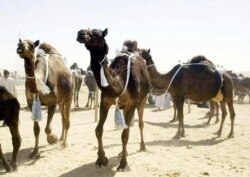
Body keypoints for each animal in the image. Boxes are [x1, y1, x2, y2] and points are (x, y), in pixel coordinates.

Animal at [76, 28, 150, 171]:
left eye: (96, 34)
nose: (80, 34)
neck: (120, 80)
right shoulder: (105, 102)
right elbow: (98, 130)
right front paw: (101, 159)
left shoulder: (131, 104)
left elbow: (125, 134)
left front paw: (123, 164)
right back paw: (123, 152)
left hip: (142, 101)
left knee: (140, 123)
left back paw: (142, 147)